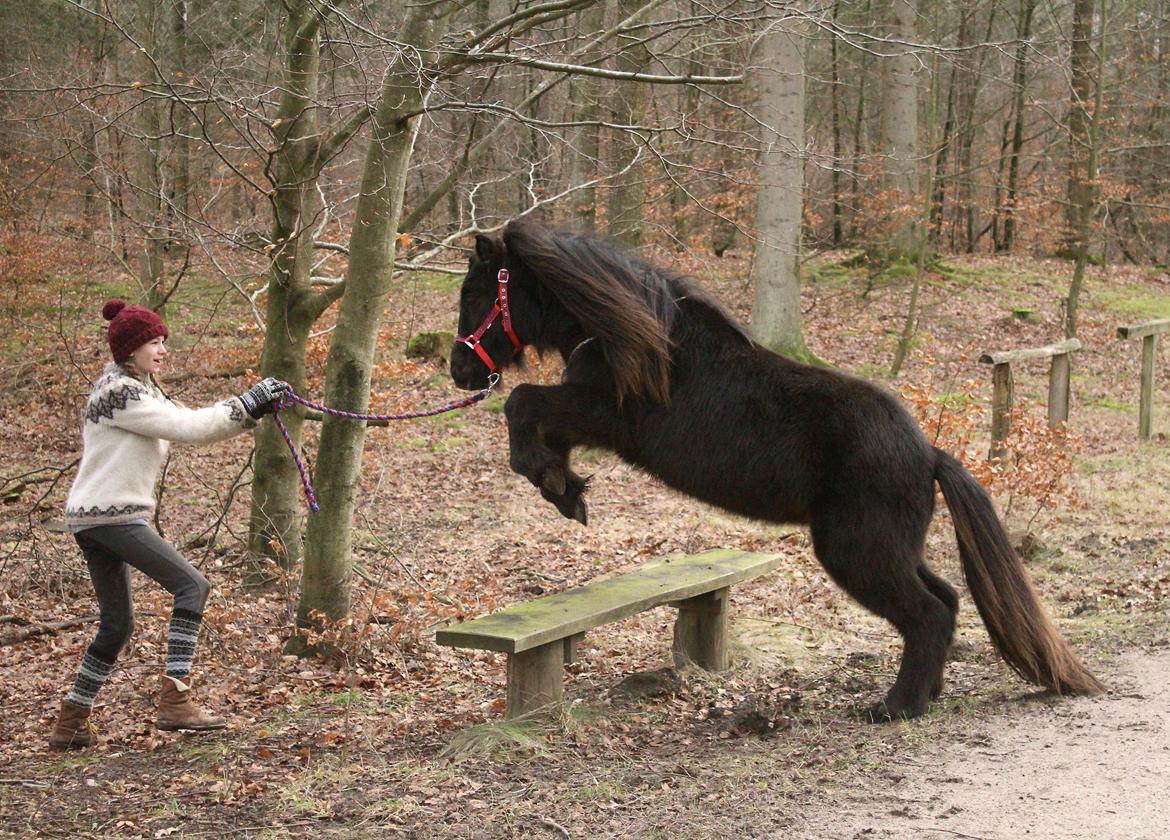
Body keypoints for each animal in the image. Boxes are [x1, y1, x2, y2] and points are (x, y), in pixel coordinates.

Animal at [449, 219, 1104, 720]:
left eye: (475, 296)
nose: (459, 370)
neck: (642, 340)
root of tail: (929, 454)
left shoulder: (603, 414)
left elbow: (523, 404)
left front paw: (554, 483)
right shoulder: (588, 415)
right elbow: (538, 422)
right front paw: (565, 489)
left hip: (857, 550)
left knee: (928, 612)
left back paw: (895, 707)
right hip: (892, 546)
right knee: (944, 600)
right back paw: (927, 693)